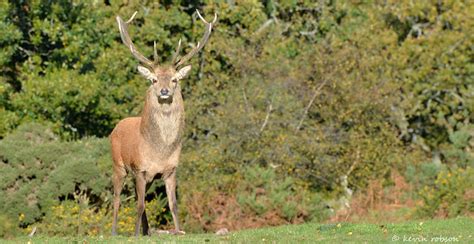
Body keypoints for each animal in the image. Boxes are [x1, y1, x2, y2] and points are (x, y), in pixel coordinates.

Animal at [110, 10, 216, 236]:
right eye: (154, 80)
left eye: (175, 79)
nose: (164, 91)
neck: (160, 151)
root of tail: (116, 127)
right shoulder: (140, 169)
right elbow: (140, 205)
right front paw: (134, 235)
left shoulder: (170, 171)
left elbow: (173, 204)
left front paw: (178, 230)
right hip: (118, 165)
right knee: (117, 198)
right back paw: (114, 232)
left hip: (145, 178)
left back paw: (147, 231)